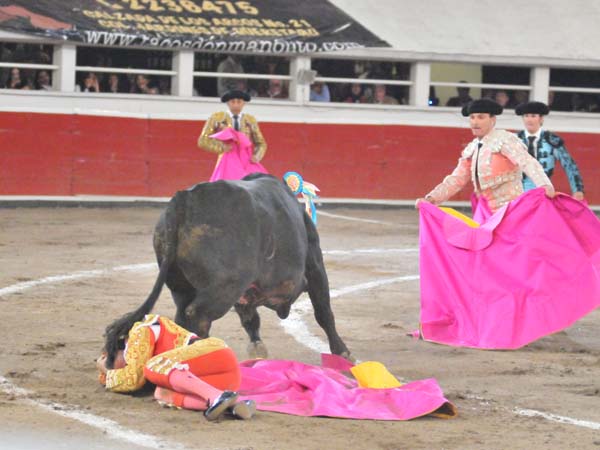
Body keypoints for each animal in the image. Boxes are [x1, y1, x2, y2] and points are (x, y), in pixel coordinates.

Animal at [105, 174, 352, 368]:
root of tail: (183, 200)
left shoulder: (244, 292)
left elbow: (250, 320)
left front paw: (257, 350)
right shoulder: (314, 265)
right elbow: (323, 311)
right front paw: (342, 352)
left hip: (182, 285)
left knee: (182, 316)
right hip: (226, 285)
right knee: (197, 315)